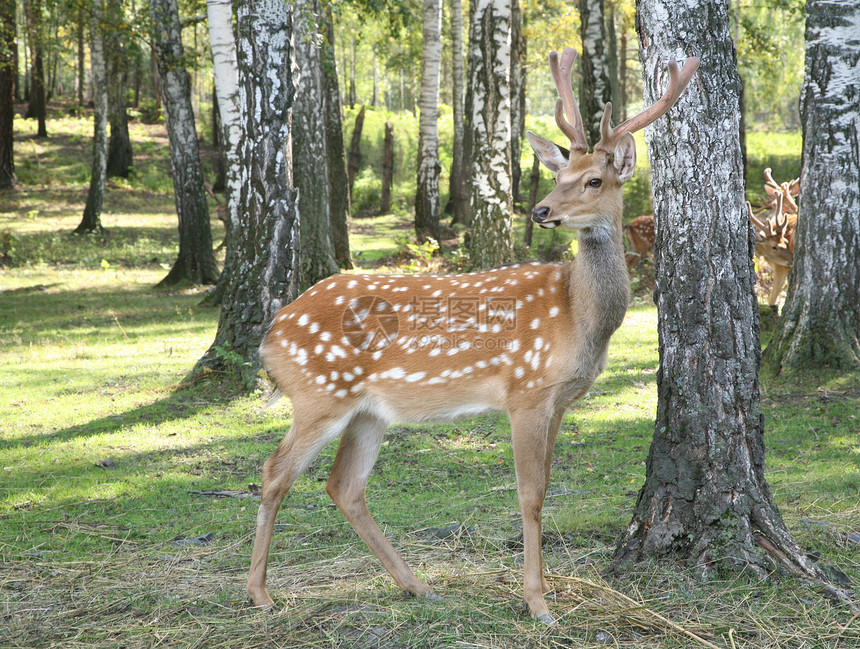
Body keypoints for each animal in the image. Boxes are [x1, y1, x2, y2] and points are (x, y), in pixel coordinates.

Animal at [247, 48, 700, 624]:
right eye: (561, 174)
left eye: (594, 180)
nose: (541, 210)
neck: (579, 318)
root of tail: (270, 335)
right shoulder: (525, 392)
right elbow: (530, 495)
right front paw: (537, 602)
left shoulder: (559, 401)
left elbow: (545, 488)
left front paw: (543, 591)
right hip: (319, 393)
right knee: (275, 472)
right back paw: (260, 592)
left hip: (367, 410)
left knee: (343, 485)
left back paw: (418, 587)